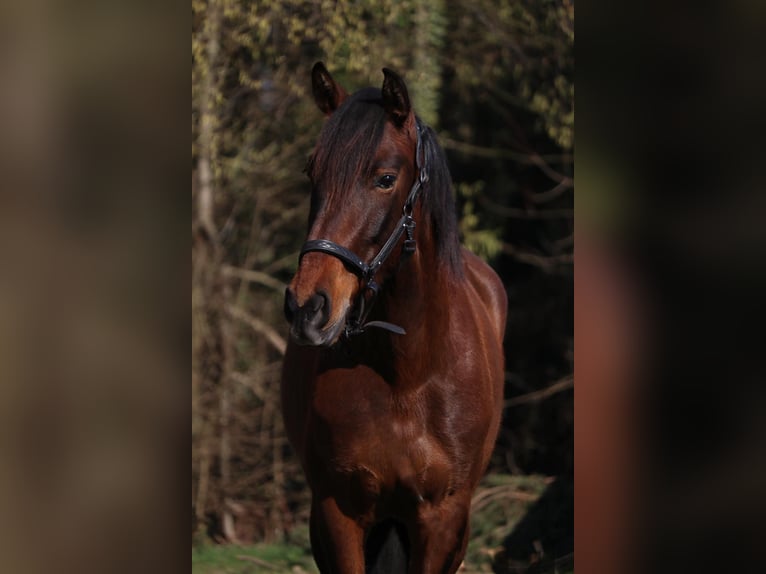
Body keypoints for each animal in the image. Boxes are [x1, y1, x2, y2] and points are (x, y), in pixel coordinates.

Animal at [281, 62, 507, 573]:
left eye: (384, 178)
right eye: (312, 172)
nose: (306, 308)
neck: (407, 374)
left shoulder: (442, 520)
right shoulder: (338, 513)